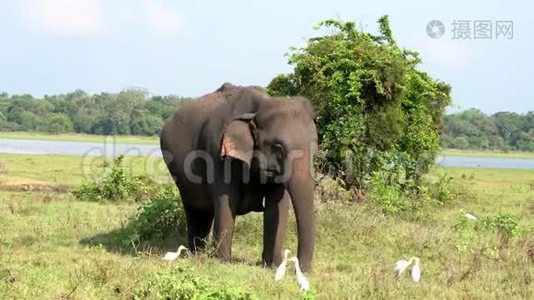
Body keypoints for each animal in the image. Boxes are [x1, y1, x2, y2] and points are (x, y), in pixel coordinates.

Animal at [160, 82, 318, 272]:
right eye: (278, 146)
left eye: (315, 146)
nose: (298, 268)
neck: (258, 107)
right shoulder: (217, 154)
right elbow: (227, 200)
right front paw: (222, 262)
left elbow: (277, 206)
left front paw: (272, 265)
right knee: (194, 210)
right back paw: (196, 254)